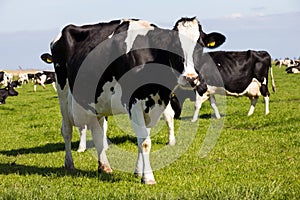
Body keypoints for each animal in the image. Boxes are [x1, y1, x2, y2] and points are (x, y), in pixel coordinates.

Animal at [41, 17, 226, 184]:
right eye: (174, 46)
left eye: (200, 47)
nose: (191, 78)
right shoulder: (135, 102)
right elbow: (145, 142)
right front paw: (148, 178)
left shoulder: (154, 105)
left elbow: (142, 139)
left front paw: (138, 172)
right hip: (63, 93)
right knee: (66, 130)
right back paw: (69, 164)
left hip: (97, 100)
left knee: (98, 132)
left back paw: (104, 166)